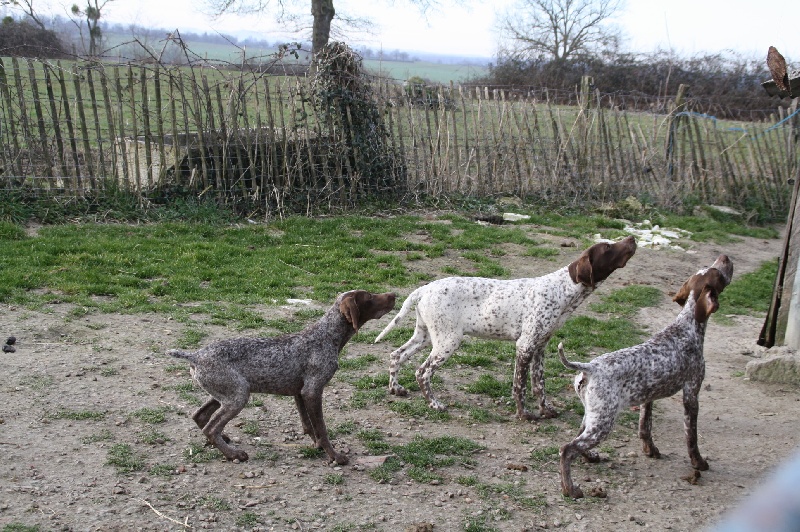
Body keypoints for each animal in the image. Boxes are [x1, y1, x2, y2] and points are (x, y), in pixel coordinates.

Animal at [170, 290, 396, 466]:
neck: (326, 336)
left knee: (200, 416)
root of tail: (196, 356)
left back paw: (223, 439)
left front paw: (318, 446)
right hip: (238, 396)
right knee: (210, 428)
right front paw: (334, 456)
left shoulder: (300, 393)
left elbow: (309, 426)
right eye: (369, 297)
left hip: (226, 393)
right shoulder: (312, 391)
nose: (393, 295)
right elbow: (321, 429)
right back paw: (233, 453)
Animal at [376, 237, 636, 420]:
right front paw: (524, 415)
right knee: (422, 372)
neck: (563, 291)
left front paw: (546, 410)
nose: (632, 239)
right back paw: (434, 404)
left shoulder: (540, 347)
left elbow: (539, 385)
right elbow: (520, 386)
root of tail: (424, 289)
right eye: (608, 248)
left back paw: (395, 389)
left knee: (396, 355)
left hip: (426, 336)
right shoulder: (525, 346)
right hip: (447, 341)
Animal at [560, 254, 736, 498]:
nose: (724, 257)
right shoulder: (691, 393)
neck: (686, 327)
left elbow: (645, 427)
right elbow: (691, 437)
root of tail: (590, 366)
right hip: (603, 421)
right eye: (717, 274)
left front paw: (650, 450)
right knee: (567, 449)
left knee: (578, 439)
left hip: (593, 415)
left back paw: (590, 458)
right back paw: (570, 488)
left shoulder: (648, 396)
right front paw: (698, 463)